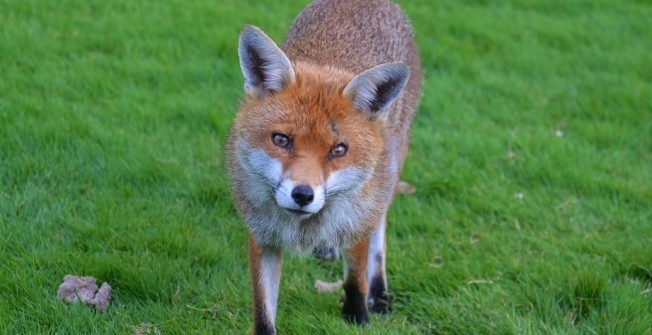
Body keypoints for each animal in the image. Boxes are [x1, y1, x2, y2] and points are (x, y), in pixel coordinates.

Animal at [227, 0, 422, 334]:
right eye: (281, 140)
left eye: (338, 150)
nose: (303, 195)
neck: (302, 227)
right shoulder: (262, 236)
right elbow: (263, 313)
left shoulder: (358, 220)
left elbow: (355, 278)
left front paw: (358, 317)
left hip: (389, 172)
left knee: (379, 232)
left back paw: (380, 293)